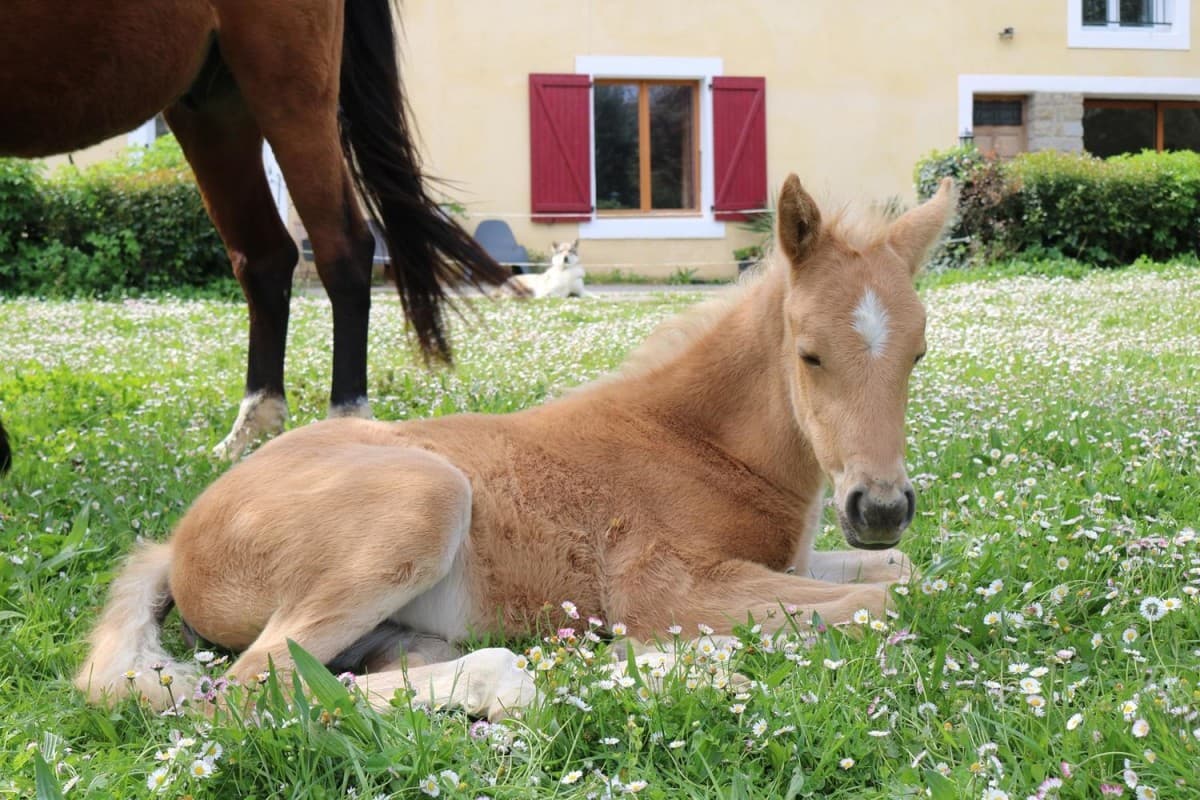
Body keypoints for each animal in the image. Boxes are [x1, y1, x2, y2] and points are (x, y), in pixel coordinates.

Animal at [76, 175, 957, 719]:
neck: (702, 444)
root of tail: (178, 539)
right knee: (253, 690)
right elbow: (893, 601)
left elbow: (902, 572)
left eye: (918, 353)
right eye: (809, 354)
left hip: (404, 620)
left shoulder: (791, 563)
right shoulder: (667, 587)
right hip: (424, 501)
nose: (879, 506)